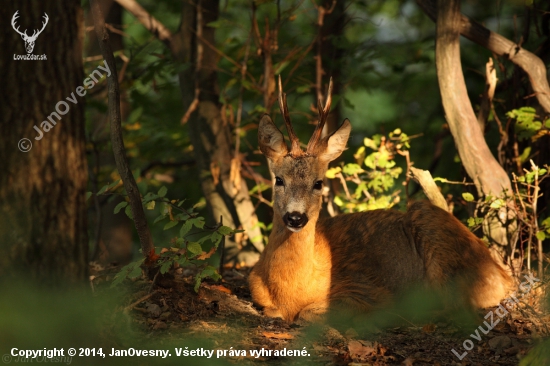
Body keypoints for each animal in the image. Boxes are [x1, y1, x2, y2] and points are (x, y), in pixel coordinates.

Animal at [248, 76, 516, 320]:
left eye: (318, 183)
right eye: (279, 180)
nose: (295, 217)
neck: (291, 294)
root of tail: (505, 275)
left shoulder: (364, 289)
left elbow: (309, 313)